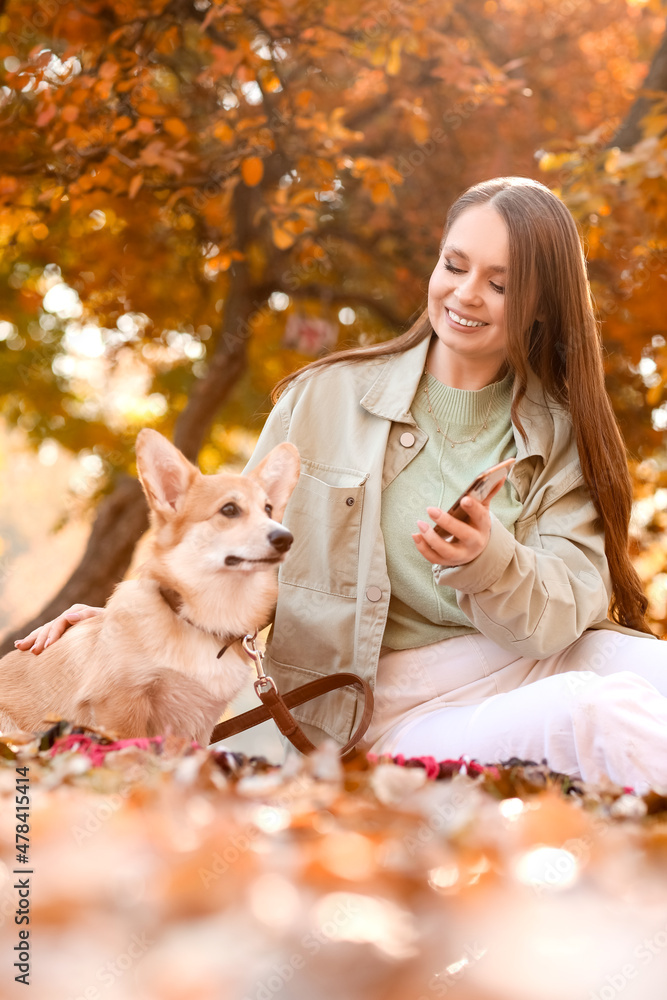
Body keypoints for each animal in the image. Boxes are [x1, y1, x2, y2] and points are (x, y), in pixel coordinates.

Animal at [0, 426, 300, 748]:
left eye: (268, 509)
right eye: (229, 509)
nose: (286, 538)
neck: (201, 620)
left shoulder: (196, 724)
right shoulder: (119, 704)